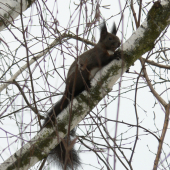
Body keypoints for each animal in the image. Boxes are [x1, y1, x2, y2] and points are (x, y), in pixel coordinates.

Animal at [43, 21, 121, 169]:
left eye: (117, 37)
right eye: (110, 38)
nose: (119, 43)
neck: (104, 48)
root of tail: (67, 90)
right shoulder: (98, 56)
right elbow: (105, 60)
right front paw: (116, 55)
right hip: (81, 74)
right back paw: (85, 87)